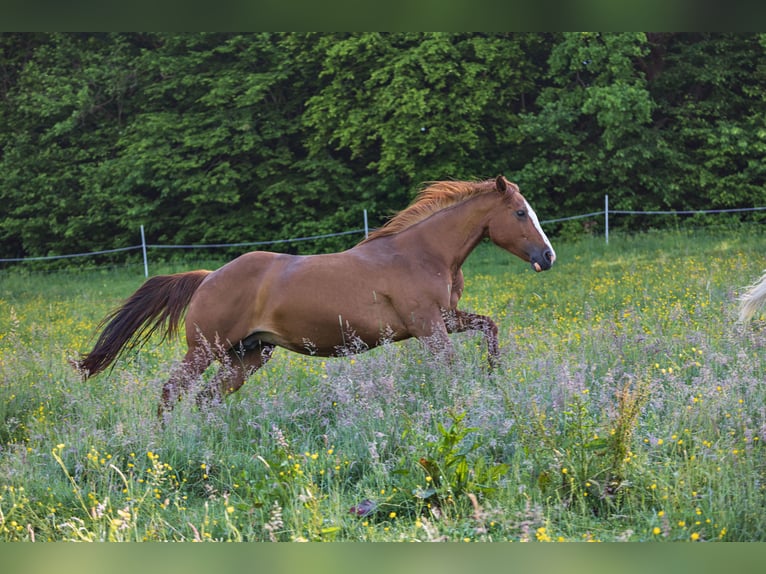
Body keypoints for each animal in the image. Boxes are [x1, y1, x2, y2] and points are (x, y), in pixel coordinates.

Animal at [76, 176, 560, 418]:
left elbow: (489, 327)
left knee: (205, 398)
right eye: (521, 212)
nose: (548, 256)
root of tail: (208, 276)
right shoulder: (427, 326)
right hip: (204, 349)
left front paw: (493, 375)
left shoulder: (447, 318)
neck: (421, 253)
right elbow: (450, 368)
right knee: (171, 391)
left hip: (248, 355)